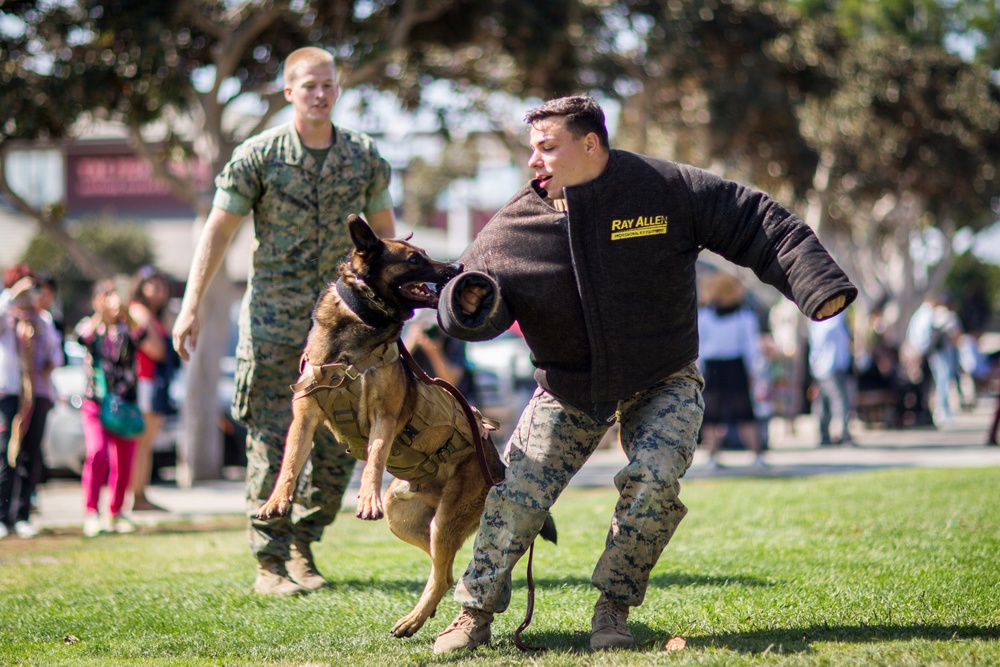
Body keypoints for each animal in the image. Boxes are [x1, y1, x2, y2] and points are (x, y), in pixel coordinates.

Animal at [258, 217, 556, 640]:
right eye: (415, 259)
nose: (456, 268)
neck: (360, 324)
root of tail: (496, 468)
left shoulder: (384, 415)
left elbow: (374, 456)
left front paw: (366, 497)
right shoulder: (305, 414)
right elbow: (290, 462)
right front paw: (276, 500)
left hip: (445, 518)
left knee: (443, 573)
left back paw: (414, 619)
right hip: (405, 515)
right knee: (444, 571)